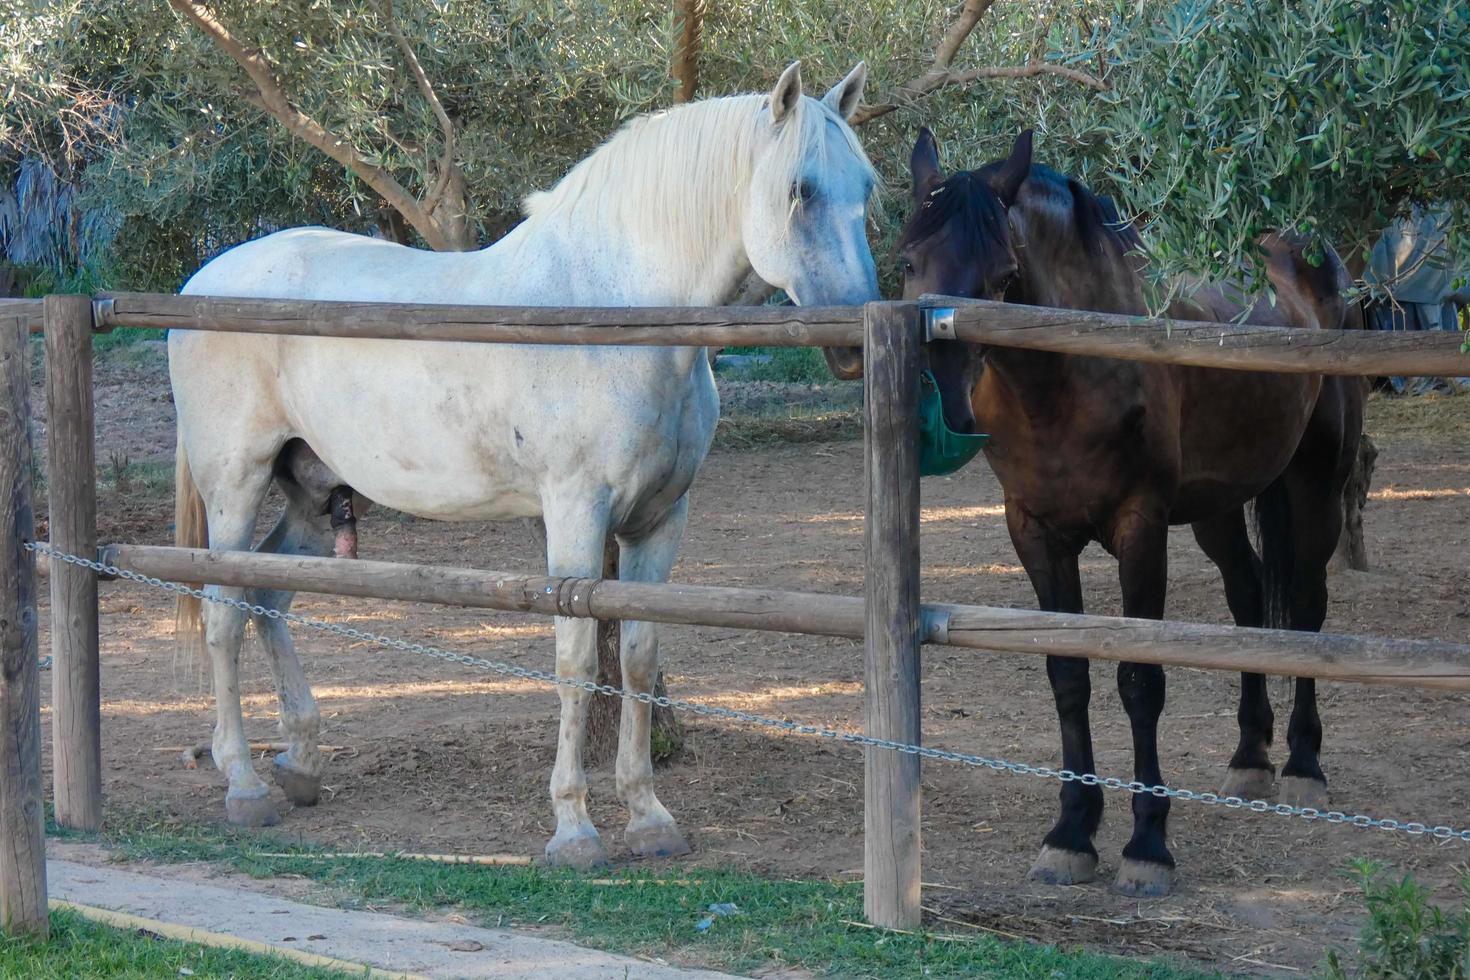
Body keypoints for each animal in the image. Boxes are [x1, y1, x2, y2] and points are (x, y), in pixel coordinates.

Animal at [171, 61, 882, 863]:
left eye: (865, 186)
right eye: (801, 189)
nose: (854, 339)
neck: (609, 314)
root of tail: (202, 282)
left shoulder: (660, 521)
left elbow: (638, 658)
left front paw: (648, 817)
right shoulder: (575, 512)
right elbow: (577, 663)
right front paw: (574, 829)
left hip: (315, 499)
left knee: (267, 596)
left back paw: (300, 764)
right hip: (235, 485)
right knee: (223, 614)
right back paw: (245, 785)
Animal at [893, 128, 1364, 899]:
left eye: (1002, 274)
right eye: (907, 260)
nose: (943, 399)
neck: (1072, 373)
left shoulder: (1139, 529)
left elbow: (1140, 682)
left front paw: (1147, 844)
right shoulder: (1035, 534)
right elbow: (1068, 676)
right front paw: (1070, 833)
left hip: (1316, 485)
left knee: (1304, 610)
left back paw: (1302, 766)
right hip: (1217, 509)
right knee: (1247, 603)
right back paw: (1250, 757)